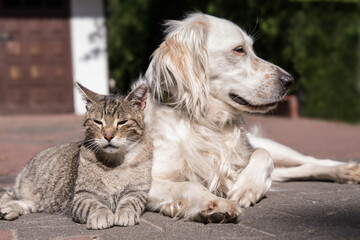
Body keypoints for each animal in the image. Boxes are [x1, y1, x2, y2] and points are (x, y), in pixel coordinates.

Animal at [0, 83, 153, 230]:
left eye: (122, 122)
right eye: (98, 122)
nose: (108, 136)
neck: (114, 163)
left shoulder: (137, 191)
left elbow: (130, 202)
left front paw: (125, 213)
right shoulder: (83, 195)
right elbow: (95, 205)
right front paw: (101, 215)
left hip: (35, 201)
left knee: (24, 202)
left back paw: (9, 211)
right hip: (22, 187)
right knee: (7, 194)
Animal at [141, 12, 360, 223]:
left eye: (251, 49)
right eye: (239, 50)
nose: (289, 80)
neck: (207, 122)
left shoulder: (248, 151)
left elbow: (262, 154)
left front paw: (248, 186)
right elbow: (190, 185)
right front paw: (215, 204)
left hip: (277, 147)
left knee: (309, 159)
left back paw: (346, 169)